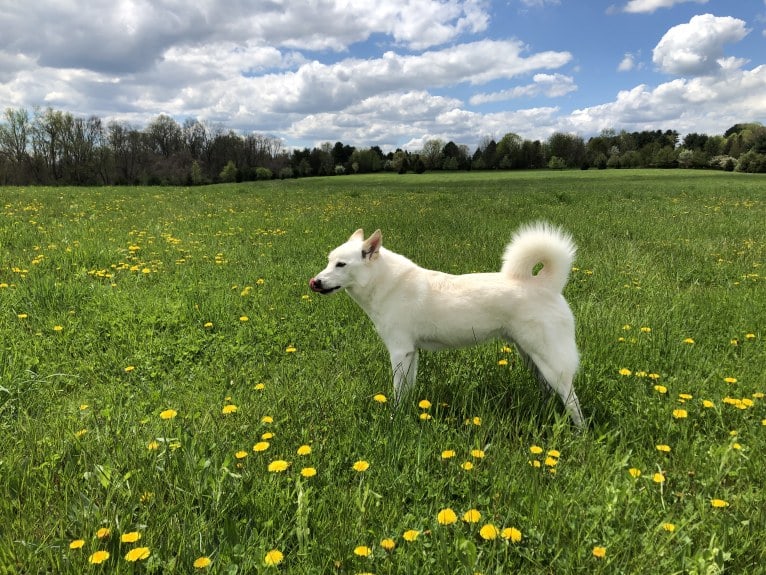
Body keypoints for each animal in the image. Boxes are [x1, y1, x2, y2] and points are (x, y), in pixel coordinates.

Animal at [308, 224, 584, 428]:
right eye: (329, 261)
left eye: (341, 264)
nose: (314, 282)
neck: (384, 283)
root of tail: (546, 285)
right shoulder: (411, 353)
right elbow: (407, 389)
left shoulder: (399, 351)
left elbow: (398, 391)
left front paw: (395, 419)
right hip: (531, 357)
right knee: (549, 391)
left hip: (550, 361)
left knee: (572, 399)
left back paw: (580, 433)